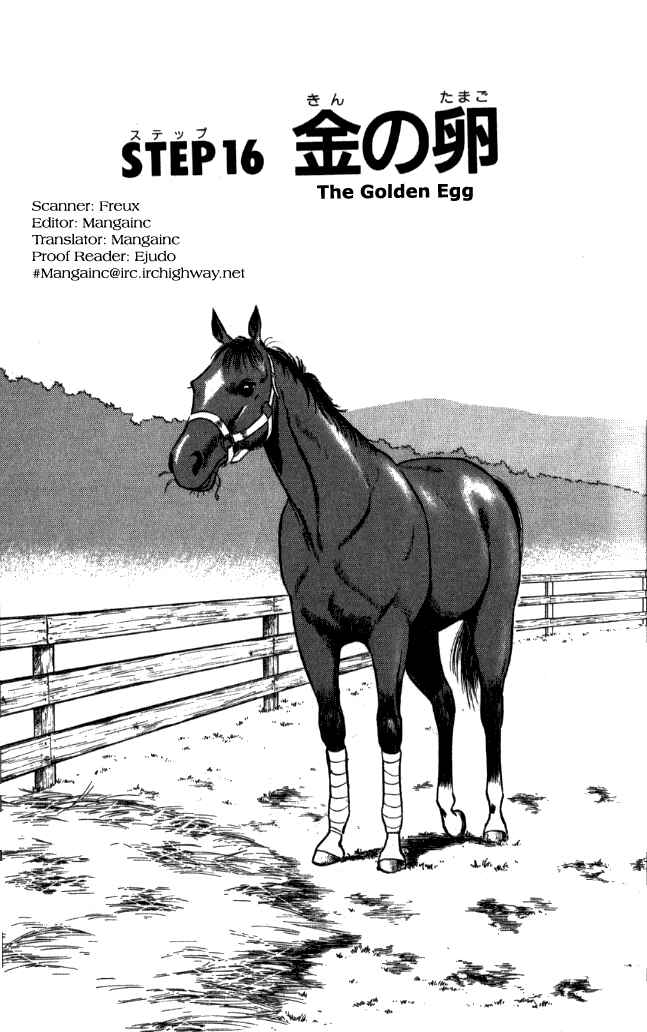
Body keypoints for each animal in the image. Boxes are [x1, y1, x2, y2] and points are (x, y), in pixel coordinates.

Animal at [169, 307, 522, 873]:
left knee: (491, 707)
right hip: (423, 638)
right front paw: (332, 840)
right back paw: (450, 815)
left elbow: (388, 726)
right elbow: (332, 726)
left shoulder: (386, 634)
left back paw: (493, 821)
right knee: (445, 704)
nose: (188, 461)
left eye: (246, 385)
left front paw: (392, 848)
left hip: (490, 623)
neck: (337, 516)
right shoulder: (313, 634)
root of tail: (487, 490)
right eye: (198, 384)